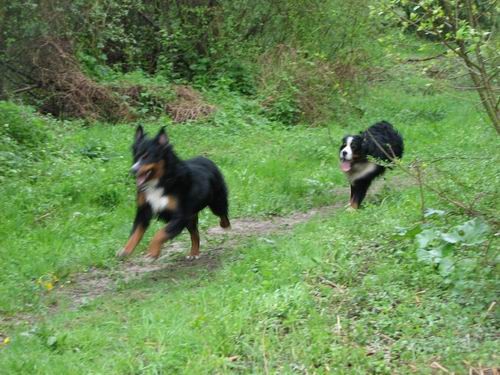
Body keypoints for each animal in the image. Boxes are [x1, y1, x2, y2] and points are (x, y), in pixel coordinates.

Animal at [115, 126, 230, 262]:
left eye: (148, 156)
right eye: (136, 156)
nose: (133, 170)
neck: (160, 181)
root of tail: (207, 159)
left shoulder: (180, 215)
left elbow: (160, 233)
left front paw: (152, 252)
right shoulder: (144, 211)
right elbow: (135, 233)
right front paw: (125, 251)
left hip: (216, 201)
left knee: (223, 213)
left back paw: (225, 226)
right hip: (191, 217)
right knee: (195, 234)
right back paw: (194, 253)